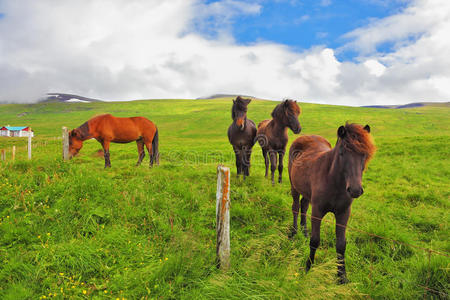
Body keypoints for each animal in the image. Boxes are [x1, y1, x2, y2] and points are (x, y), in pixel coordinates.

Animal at [288, 123, 376, 282]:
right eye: (342, 152)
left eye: (364, 154)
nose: (355, 190)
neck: (333, 182)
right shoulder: (317, 212)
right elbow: (315, 241)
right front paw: (308, 268)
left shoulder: (343, 213)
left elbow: (341, 244)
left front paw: (342, 276)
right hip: (294, 187)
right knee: (296, 207)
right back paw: (294, 232)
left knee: (304, 206)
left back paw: (304, 232)